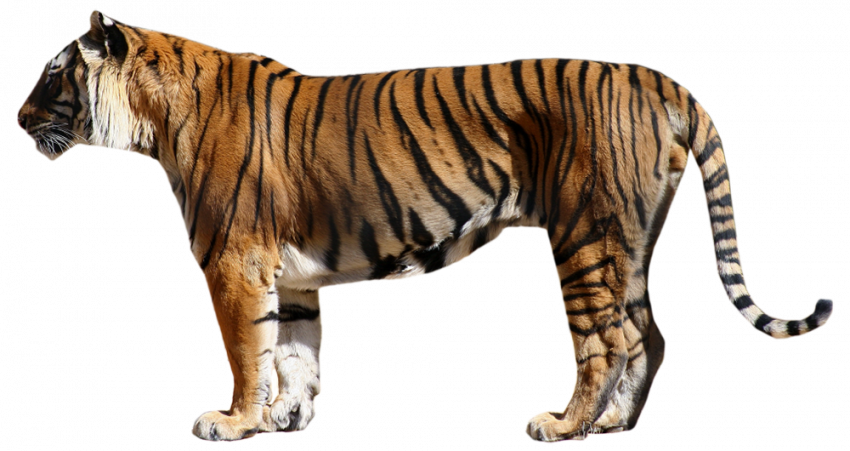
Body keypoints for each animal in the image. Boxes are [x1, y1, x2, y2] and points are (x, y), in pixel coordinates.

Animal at [16, 10, 835, 443]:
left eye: (53, 76)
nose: (18, 116)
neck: (152, 118)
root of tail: (657, 77)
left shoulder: (235, 260)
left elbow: (249, 352)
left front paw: (233, 419)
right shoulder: (291, 274)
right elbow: (293, 352)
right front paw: (287, 416)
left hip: (584, 235)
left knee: (610, 338)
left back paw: (561, 424)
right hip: (626, 241)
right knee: (650, 332)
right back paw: (614, 425)